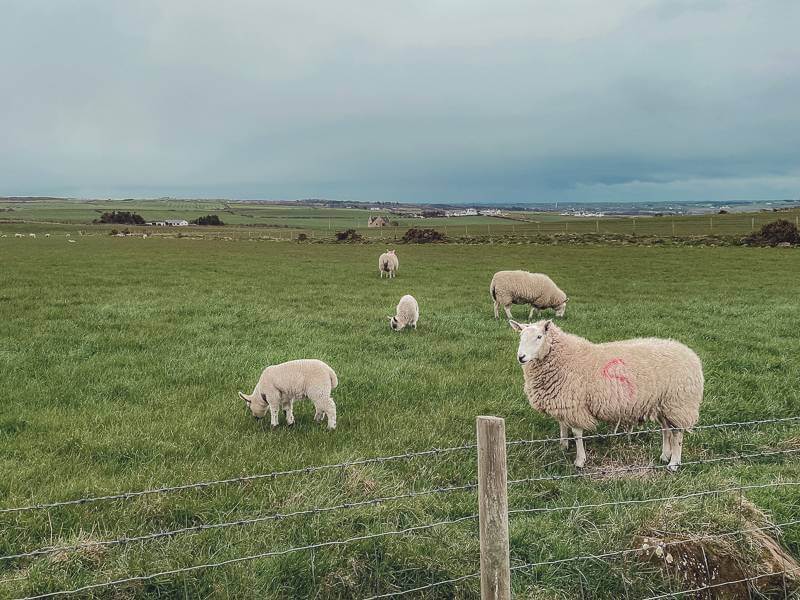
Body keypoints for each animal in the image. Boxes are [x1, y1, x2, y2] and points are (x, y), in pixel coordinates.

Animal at [509, 319, 703, 471]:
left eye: (539, 337)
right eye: (520, 337)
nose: (521, 357)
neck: (564, 356)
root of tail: (691, 354)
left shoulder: (576, 404)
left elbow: (577, 433)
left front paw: (580, 461)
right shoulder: (563, 400)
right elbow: (562, 424)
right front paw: (563, 445)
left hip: (678, 402)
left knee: (677, 433)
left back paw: (674, 463)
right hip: (663, 403)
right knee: (666, 430)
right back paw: (664, 455)